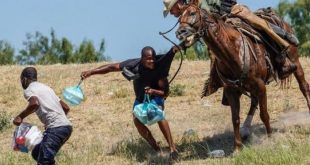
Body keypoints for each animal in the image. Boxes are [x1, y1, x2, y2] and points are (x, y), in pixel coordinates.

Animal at [176, 0, 310, 151]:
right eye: (179, 17)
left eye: (192, 13)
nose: (180, 33)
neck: (232, 51)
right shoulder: (231, 90)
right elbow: (235, 119)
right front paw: (237, 147)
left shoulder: (260, 86)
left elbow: (264, 114)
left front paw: (270, 139)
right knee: (254, 101)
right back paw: (245, 130)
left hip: (295, 62)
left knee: (304, 86)